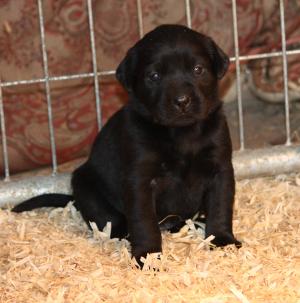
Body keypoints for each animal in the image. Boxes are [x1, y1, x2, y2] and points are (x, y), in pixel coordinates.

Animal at [12, 25, 241, 264]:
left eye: (198, 69)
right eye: (154, 76)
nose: (181, 101)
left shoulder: (220, 169)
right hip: (86, 188)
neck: (181, 134)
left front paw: (222, 240)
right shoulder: (140, 180)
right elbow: (144, 221)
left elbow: (220, 208)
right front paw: (148, 256)